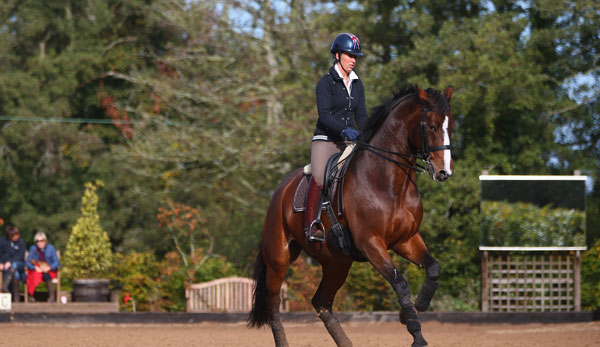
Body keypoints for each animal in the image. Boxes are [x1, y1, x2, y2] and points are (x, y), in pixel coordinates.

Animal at [248, 85, 454, 347]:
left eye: (452, 126)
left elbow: (433, 269)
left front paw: (412, 311)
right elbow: (399, 282)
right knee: (274, 306)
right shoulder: (371, 243)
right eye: (432, 127)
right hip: (279, 258)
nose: (444, 172)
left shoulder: (405, 240)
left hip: (336, 262)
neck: (389, 183)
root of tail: (280, 190)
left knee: (321, 302)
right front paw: (416, 333)